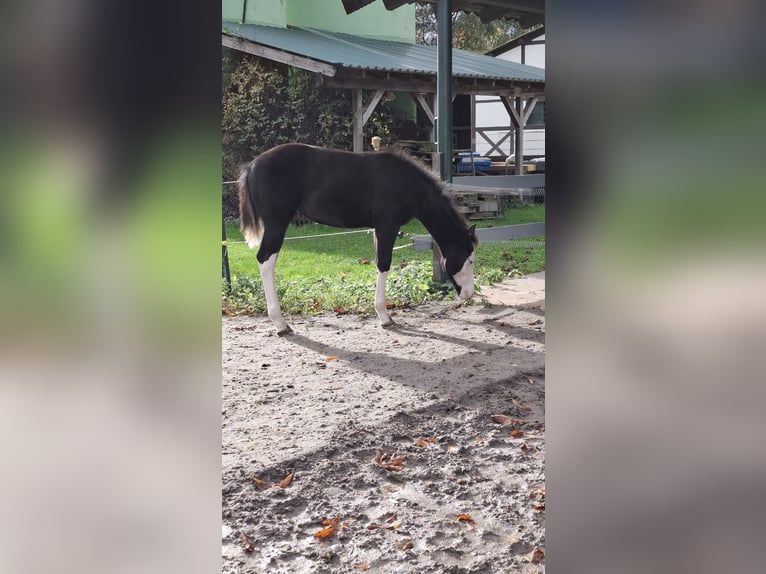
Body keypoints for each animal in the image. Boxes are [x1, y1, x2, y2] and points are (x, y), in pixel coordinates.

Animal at [238, 143, 478, 335]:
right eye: (469, 259)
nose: (469, 294)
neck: (404, 183)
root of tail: (252, 165)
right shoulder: (387, 226)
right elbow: (384, 264)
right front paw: (385, 317)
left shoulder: (377, 229)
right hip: (277, 224)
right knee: (265, 260)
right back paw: (280, 323)